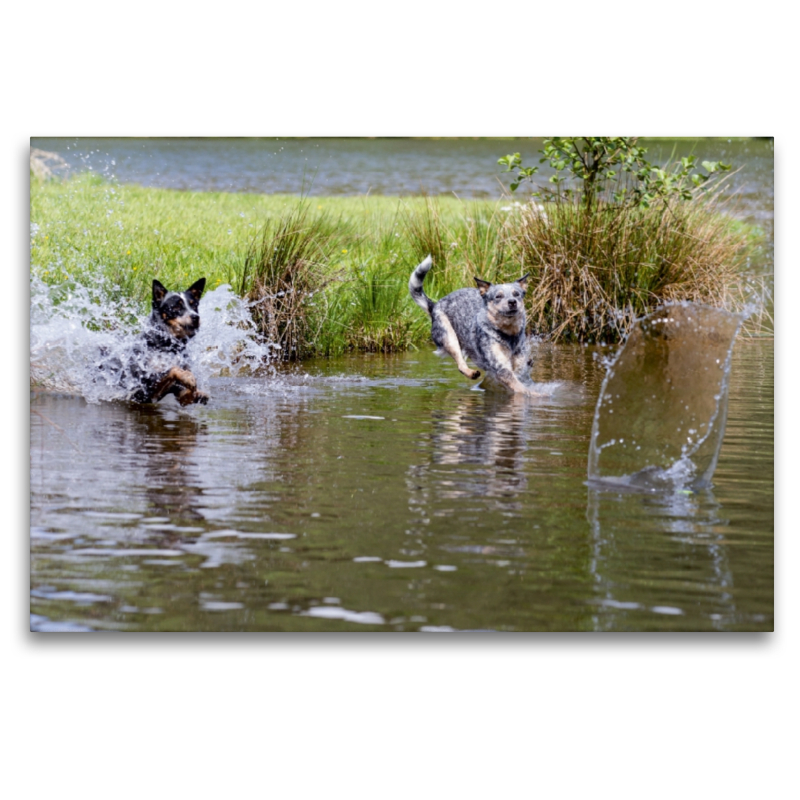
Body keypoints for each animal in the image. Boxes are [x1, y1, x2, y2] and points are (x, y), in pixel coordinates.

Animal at [410, 256, 540, 394]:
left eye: (516, 294)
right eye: (498, 296)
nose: (512, 302)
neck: (508, 334)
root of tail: (434, 305)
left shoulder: (520, 364)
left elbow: (522, 378)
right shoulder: (501, 367)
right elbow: (520, 387)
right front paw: (536, 394)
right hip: (449, 337)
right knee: (460, 364)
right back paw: (471, 373)